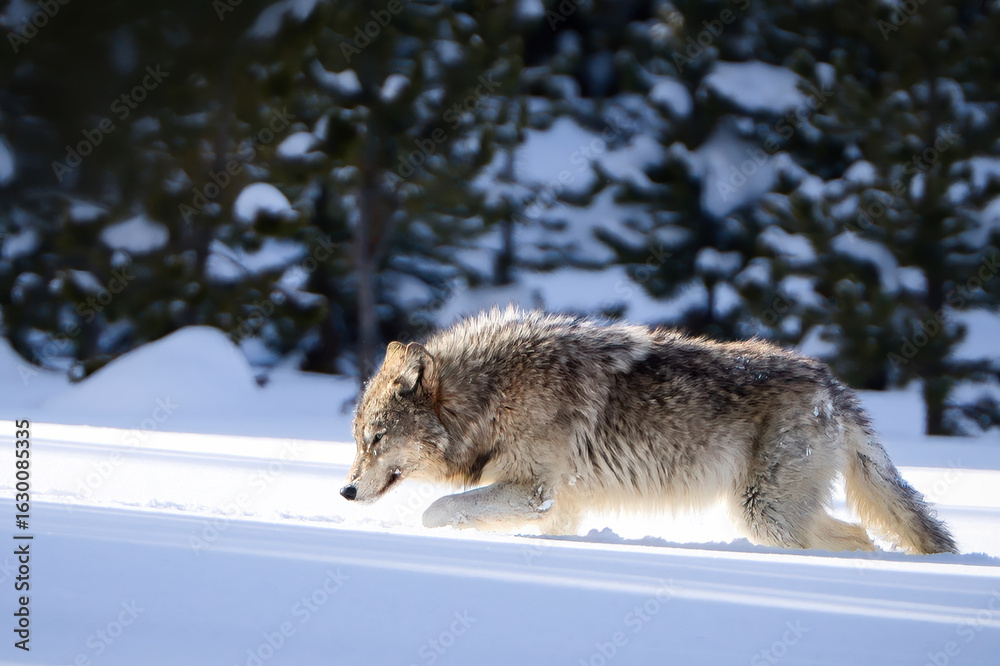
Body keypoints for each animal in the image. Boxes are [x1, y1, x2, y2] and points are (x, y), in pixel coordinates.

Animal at [341, 307, 957, 554]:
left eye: (375, 440)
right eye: (357, 439)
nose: (345, 491)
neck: (492, 394)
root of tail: (832, 385)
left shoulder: (534, 492)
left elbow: (435, 510)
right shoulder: (558, 507)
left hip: (765, 513)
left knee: (855, 537)